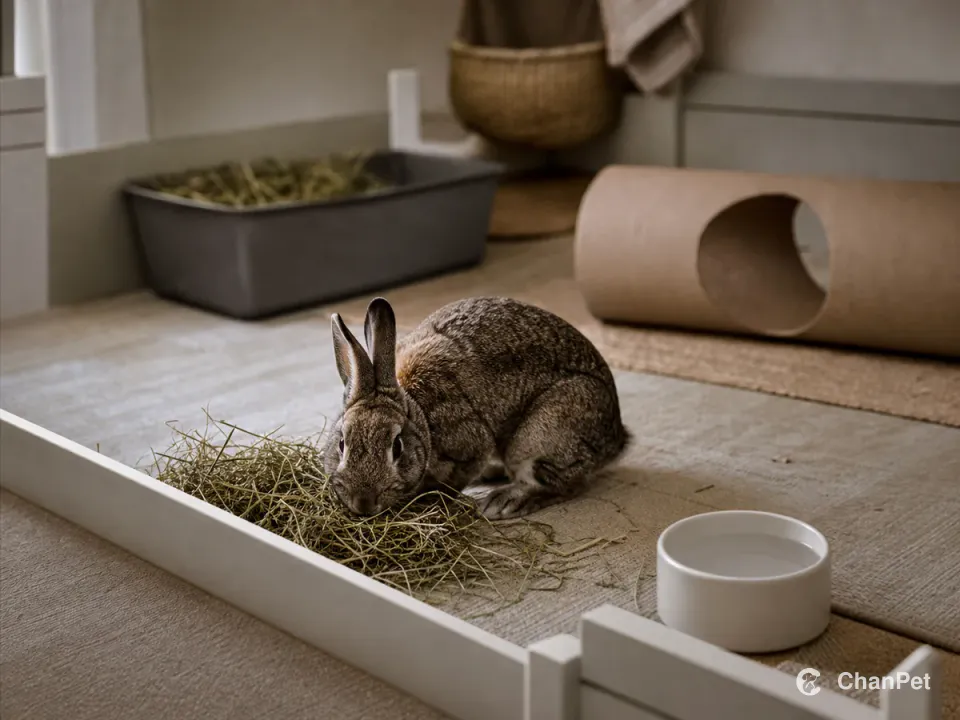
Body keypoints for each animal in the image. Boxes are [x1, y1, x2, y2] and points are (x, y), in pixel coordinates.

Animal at [322, 296, 630, 520]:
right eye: (341, 444)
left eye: (397, 447)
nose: (363, 503)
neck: (419, 413)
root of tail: (616, 440)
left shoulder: (470, 447)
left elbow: (452, 482)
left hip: (541, 435)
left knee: (564, 483)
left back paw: (503, 502)